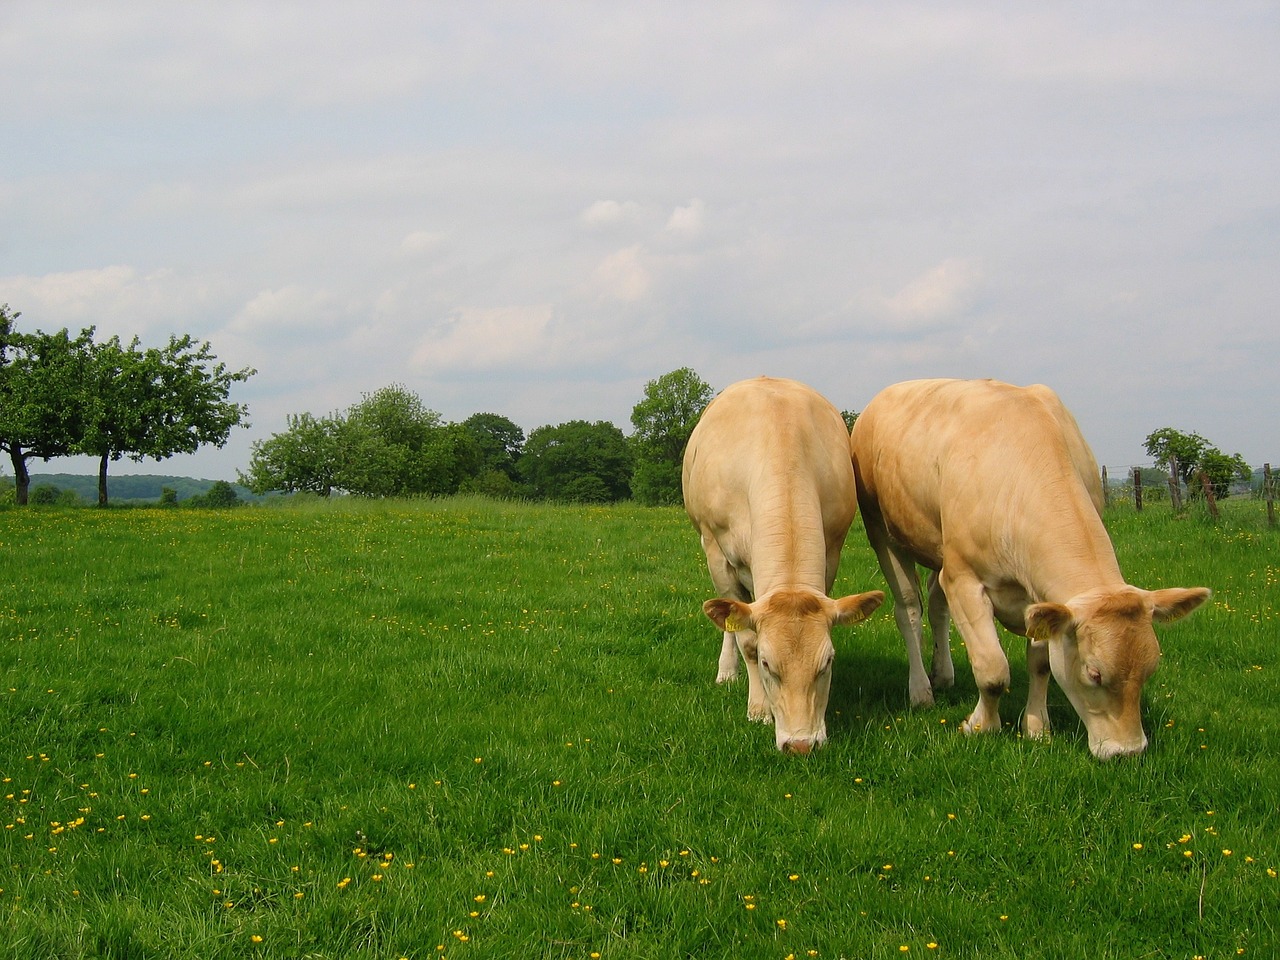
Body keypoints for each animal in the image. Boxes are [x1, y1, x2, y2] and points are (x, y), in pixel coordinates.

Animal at [686, 378, 885, 757]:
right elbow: (745, 636)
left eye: (827, 663)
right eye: (767, 664)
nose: (801, 744)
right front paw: (758, 709)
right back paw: (727, 671)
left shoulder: (831, 553)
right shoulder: (717, 553)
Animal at [849, 378, 1208, 762]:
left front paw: (1036, 728)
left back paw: (942, 674)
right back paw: (921, 690)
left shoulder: (1041, 598)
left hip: (937, 547)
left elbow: (1041, 663)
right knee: (909, 609)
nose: (1128, 752)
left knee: (936, 604)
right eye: (1094, 673)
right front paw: (981, 726)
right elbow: (992, 669)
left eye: (1151, 668)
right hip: (883, 531)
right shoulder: (964, 579)